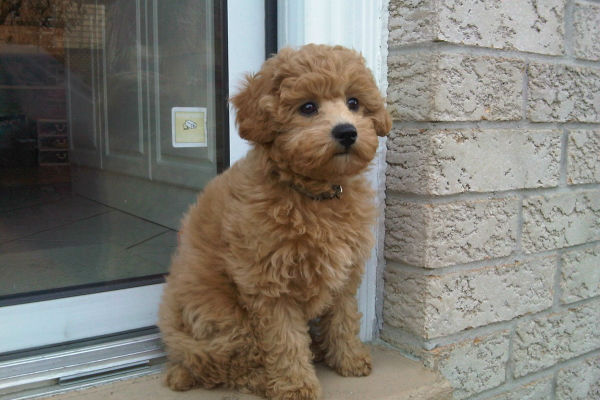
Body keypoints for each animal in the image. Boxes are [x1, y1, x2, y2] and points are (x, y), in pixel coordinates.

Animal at [159, 43, 392, 400]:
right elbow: (284, 340)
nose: (347, 131)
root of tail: (178, 351)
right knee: (227, 365)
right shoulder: (268, 284)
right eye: (308, 107)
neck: (313, 195)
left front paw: (349, 358)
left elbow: (344, 317)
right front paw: (296, 385)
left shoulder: (344, 273)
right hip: (223, 318)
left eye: (354, 103)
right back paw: (262, 380)